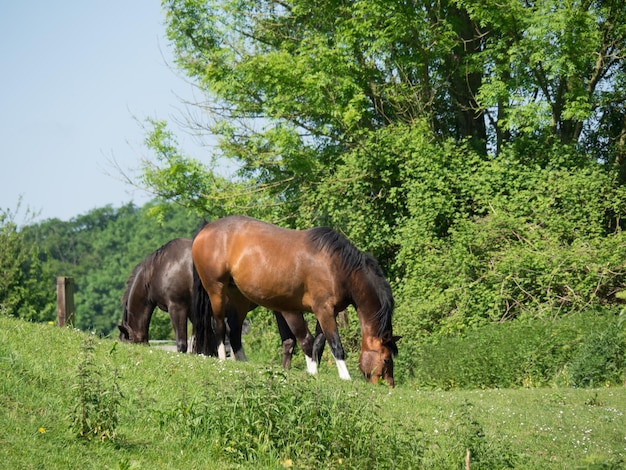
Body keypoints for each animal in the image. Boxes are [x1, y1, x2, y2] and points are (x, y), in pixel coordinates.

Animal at [190, 217, 402, 386]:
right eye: (386, 359)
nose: (390, 385)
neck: (336, 266)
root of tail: (206, 229)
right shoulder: (312, 310)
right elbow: (326, 343)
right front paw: (341, 377)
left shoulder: (325, 313)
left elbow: (318, 343)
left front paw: (313, 372)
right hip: (216, 290)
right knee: (219, 326)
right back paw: (222, 359)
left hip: (238, 297)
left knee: (233, 329)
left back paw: (243, 362)